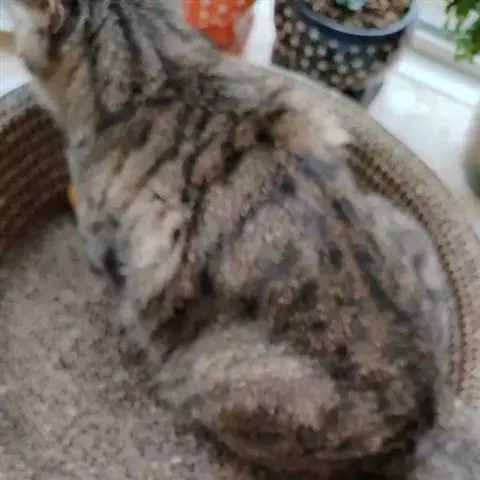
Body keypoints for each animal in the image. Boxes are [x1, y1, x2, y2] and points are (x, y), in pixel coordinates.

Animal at [5, 0, 479, 478]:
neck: (158, 68)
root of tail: (427, 419)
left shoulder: (114, 250)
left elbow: (125, 308)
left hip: (212, 369)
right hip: (399, 222)